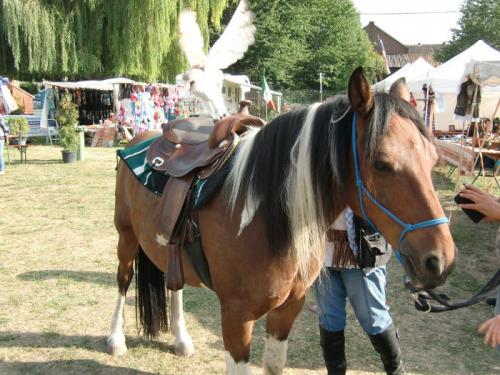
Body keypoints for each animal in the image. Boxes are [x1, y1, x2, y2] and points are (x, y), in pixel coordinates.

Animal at [107, 69, 456, 374]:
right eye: (382, 163)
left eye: (433, 159)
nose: (440, 260)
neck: (262, 216)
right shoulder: (235, 318)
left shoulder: (287, 310)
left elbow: (274, 364)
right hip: (126, 238)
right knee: (124, 280)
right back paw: (116, 338)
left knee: (174, 285)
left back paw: (181, 339)